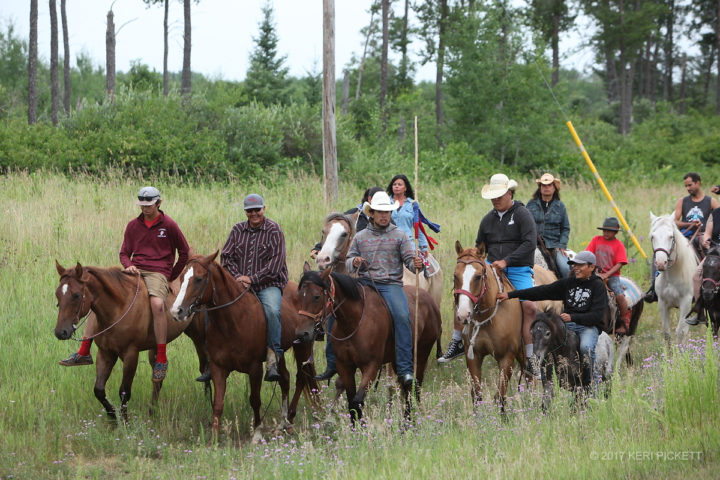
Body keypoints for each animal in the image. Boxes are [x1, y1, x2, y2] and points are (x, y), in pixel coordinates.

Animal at [54, 260, 208, 422]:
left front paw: (125, 422)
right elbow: (99, 390)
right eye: (57, 294)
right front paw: (113, 418)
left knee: (204, 366)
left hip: (199, 337)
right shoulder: (105, 353)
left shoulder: (131, 354)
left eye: (76, 295)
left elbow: (124, 392)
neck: (118, 308)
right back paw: (152, 411)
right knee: (158, 379)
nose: (60, 332)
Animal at [170, 251, 320, 442]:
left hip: (303, 346)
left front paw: (257, 433)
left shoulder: (255, 368)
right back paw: (282, 422)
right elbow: (218, 403)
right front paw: (214, 438)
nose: (177, 311)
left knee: (301, 377)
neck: (233, 320)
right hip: (279, 353)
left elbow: (255, 399)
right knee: (284, 379)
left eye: (198, 279)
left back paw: (290, 420)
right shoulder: (218, 368)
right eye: (182, 277)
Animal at [296, 266, 442, 424]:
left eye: (316, 296)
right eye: (299, 296)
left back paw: (408, 422)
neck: (353, 322)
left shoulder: (371, 366)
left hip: (421, 354)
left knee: (414, 386)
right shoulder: (344, 366)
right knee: (406, 385)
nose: (301, 333)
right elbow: (351, 402)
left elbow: (357, 401)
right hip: (397, 359)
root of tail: (429, 300)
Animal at [648, 214, 696, 344]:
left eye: (671, 237)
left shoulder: (686, 303)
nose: (661, 263)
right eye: (652, 236)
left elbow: (680, 332)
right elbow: (666, 333)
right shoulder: (663, 302)